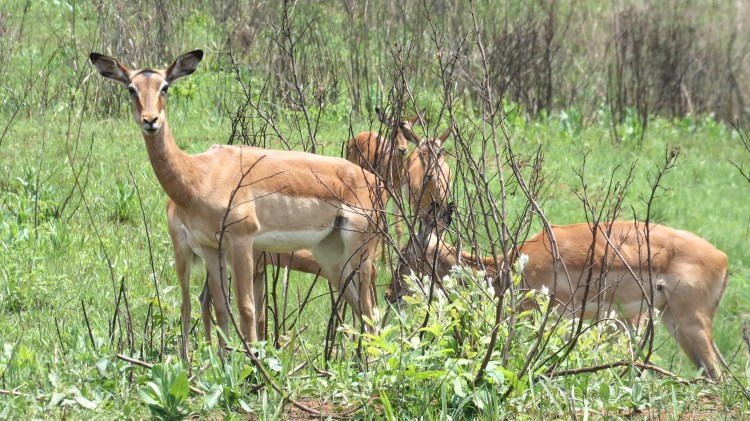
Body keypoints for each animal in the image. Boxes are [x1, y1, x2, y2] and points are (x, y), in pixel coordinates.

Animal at [91, 50, 384, 348]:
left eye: (165, 87)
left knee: (371, 311)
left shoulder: (242, 240)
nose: (151, 121)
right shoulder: (211, 247)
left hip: (360, 251)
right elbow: (222, 307)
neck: (199, 175)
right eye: (131, 88)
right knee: (362, 309)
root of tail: (375, 183)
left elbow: (246, 309)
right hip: (331, 256)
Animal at [389, 203, 729, 379]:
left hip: (691, 322)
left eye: (404, 257)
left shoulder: (552, 314)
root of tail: (722, 258)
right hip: (672, 322)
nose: (390, 295)